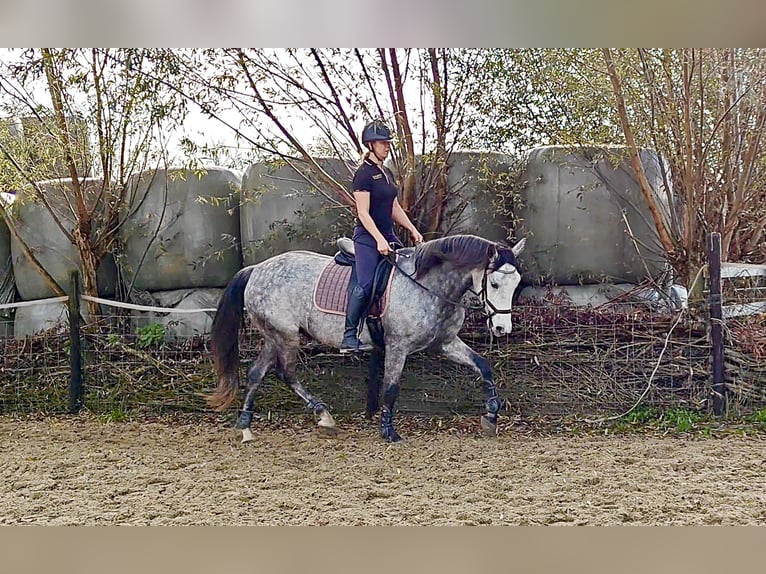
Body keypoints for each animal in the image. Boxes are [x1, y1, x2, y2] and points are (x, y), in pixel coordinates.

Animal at [207, 234, 526, 443]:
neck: (427, 285)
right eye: (494, 283)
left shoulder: (446, 344)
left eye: (517, 283)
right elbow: (391, 388)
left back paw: (246, 425)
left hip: (274, 336)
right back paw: (322, 415)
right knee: (285, 373)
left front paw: (491, 416)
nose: (502, 329)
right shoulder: (398, 346)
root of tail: (257, 269)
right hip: (285, 336)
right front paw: (388, 431)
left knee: (257, 372)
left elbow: (484, 366)